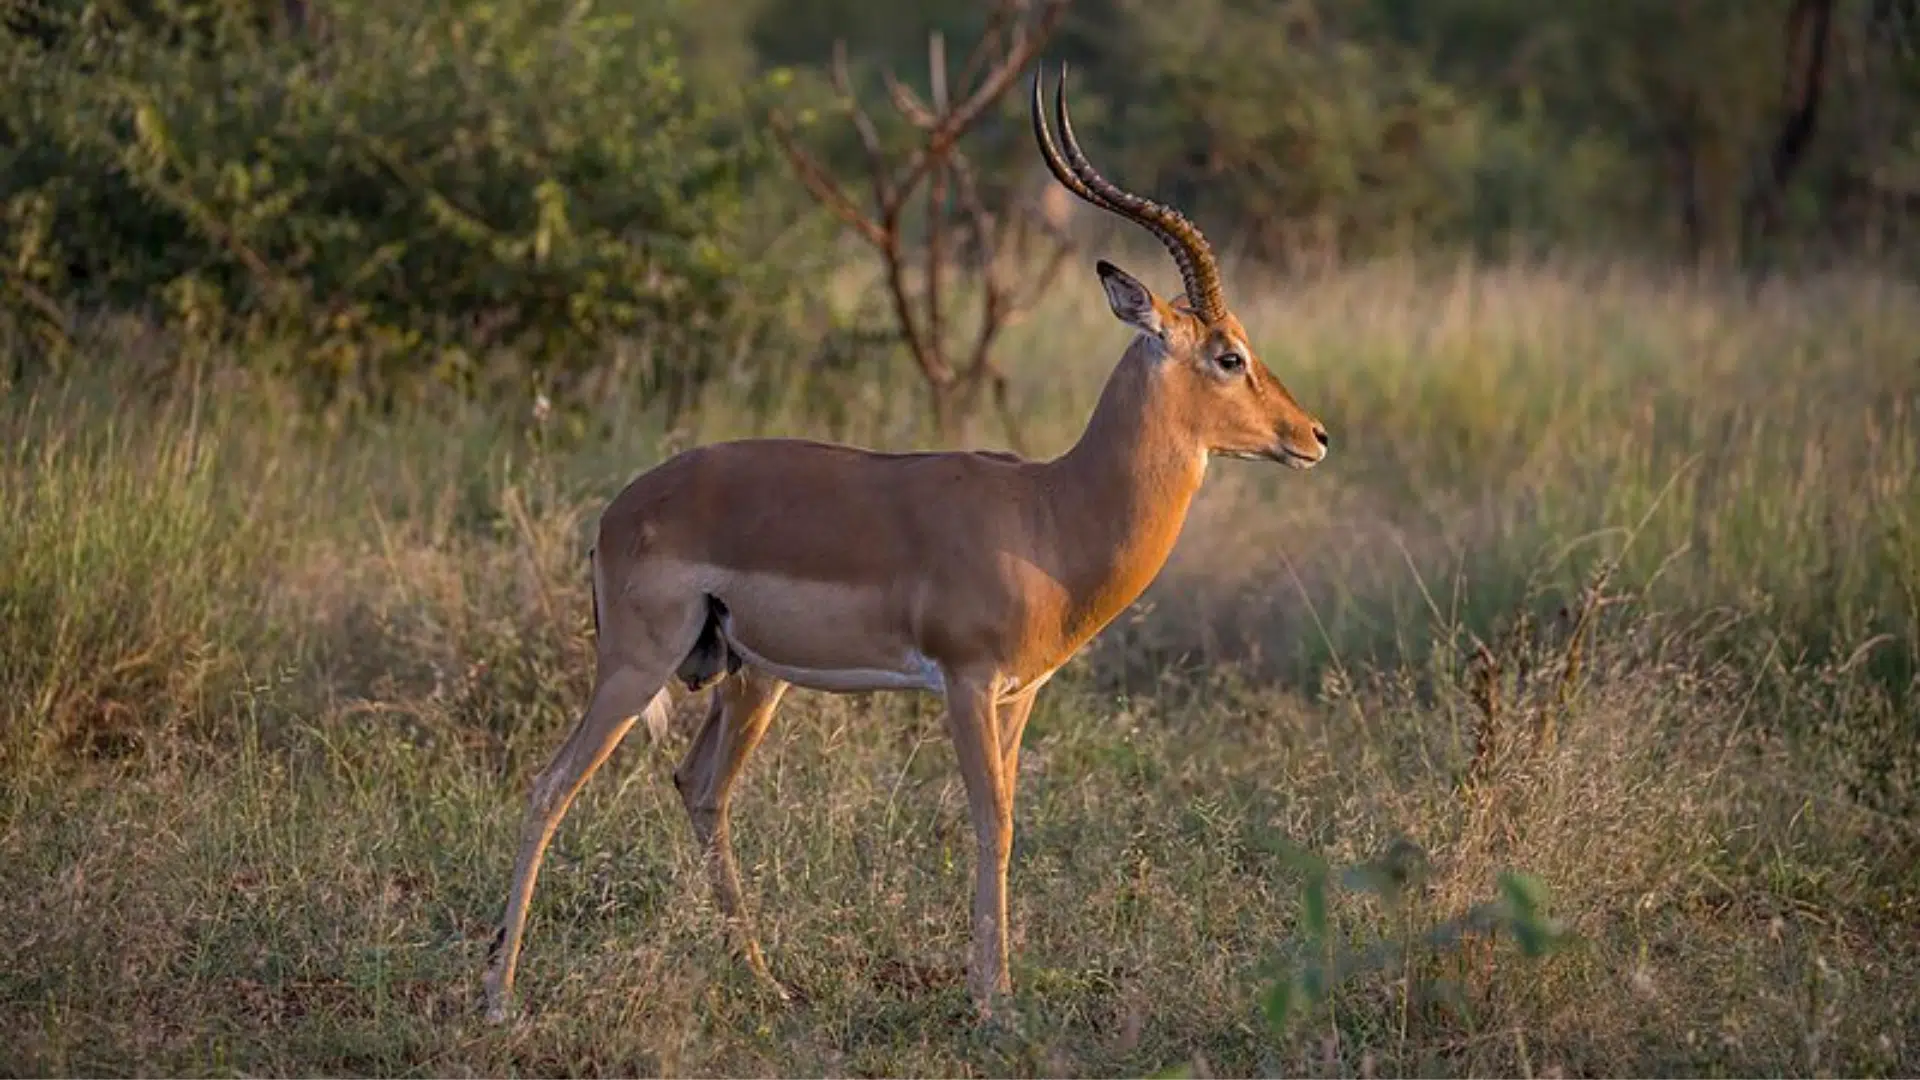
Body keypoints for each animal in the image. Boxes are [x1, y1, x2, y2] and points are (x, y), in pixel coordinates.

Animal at [482, 65, 1330, 1023]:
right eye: (1229, 356)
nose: (1312, 435)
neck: (1050, 511)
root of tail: (618, 510)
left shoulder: (1019, 696)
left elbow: (1008, 821)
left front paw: (992, 990)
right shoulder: (965, 683)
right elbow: (989, 822)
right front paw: (995, 1006)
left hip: (749, 676)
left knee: (699, 790)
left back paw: (767, 982)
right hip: (637, 665)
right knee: (550, 787)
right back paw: (498, 995)